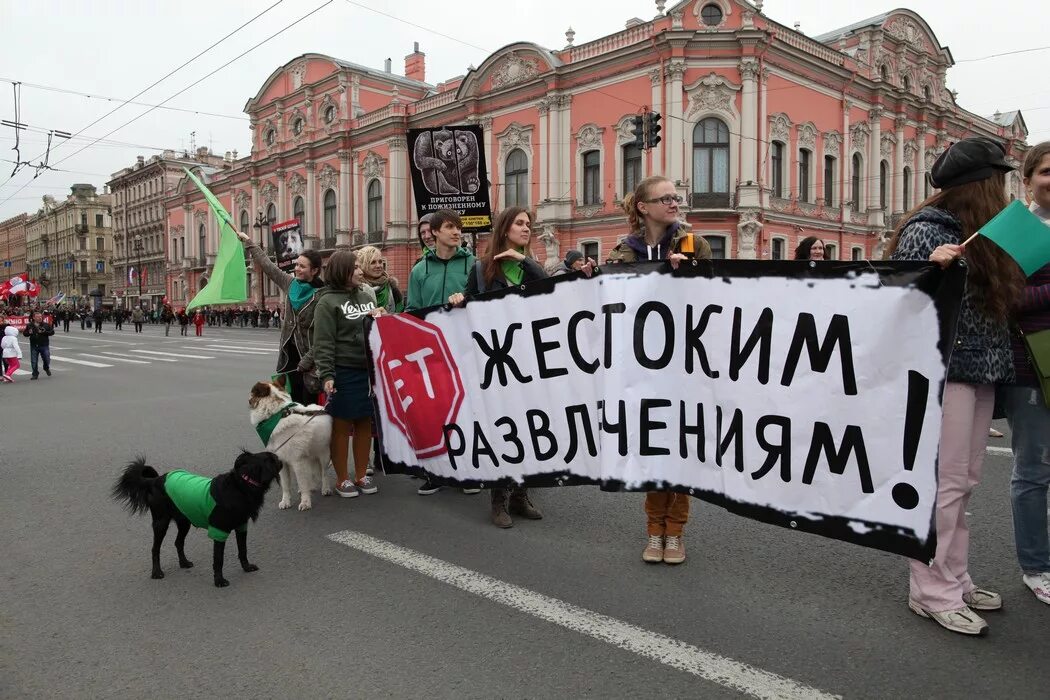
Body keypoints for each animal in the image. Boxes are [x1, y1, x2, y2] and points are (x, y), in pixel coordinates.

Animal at [112, 449, 281, 587]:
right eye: (273, 459)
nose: (281, 459)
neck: (242, 486)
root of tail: (156, 480)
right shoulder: (219, 531)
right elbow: (218, 559)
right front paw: (219, 581)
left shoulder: (241, 527)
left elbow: (243, 550)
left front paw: (246, 568)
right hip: (161, 523)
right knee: (155, 548)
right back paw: (156, 572)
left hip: (184, 521)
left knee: (178, 542)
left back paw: (184, 563)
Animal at [247, 379, 329, 512]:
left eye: (252, 394)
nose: (248, 400)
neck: (276, 416)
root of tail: (322, 407)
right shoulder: (282, 462)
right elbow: (285, 486)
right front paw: (285, 501)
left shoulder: (298, 461)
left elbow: (302, 483)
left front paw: (305, 502)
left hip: (324, 456)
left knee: (324, 473)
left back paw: (326, 488)